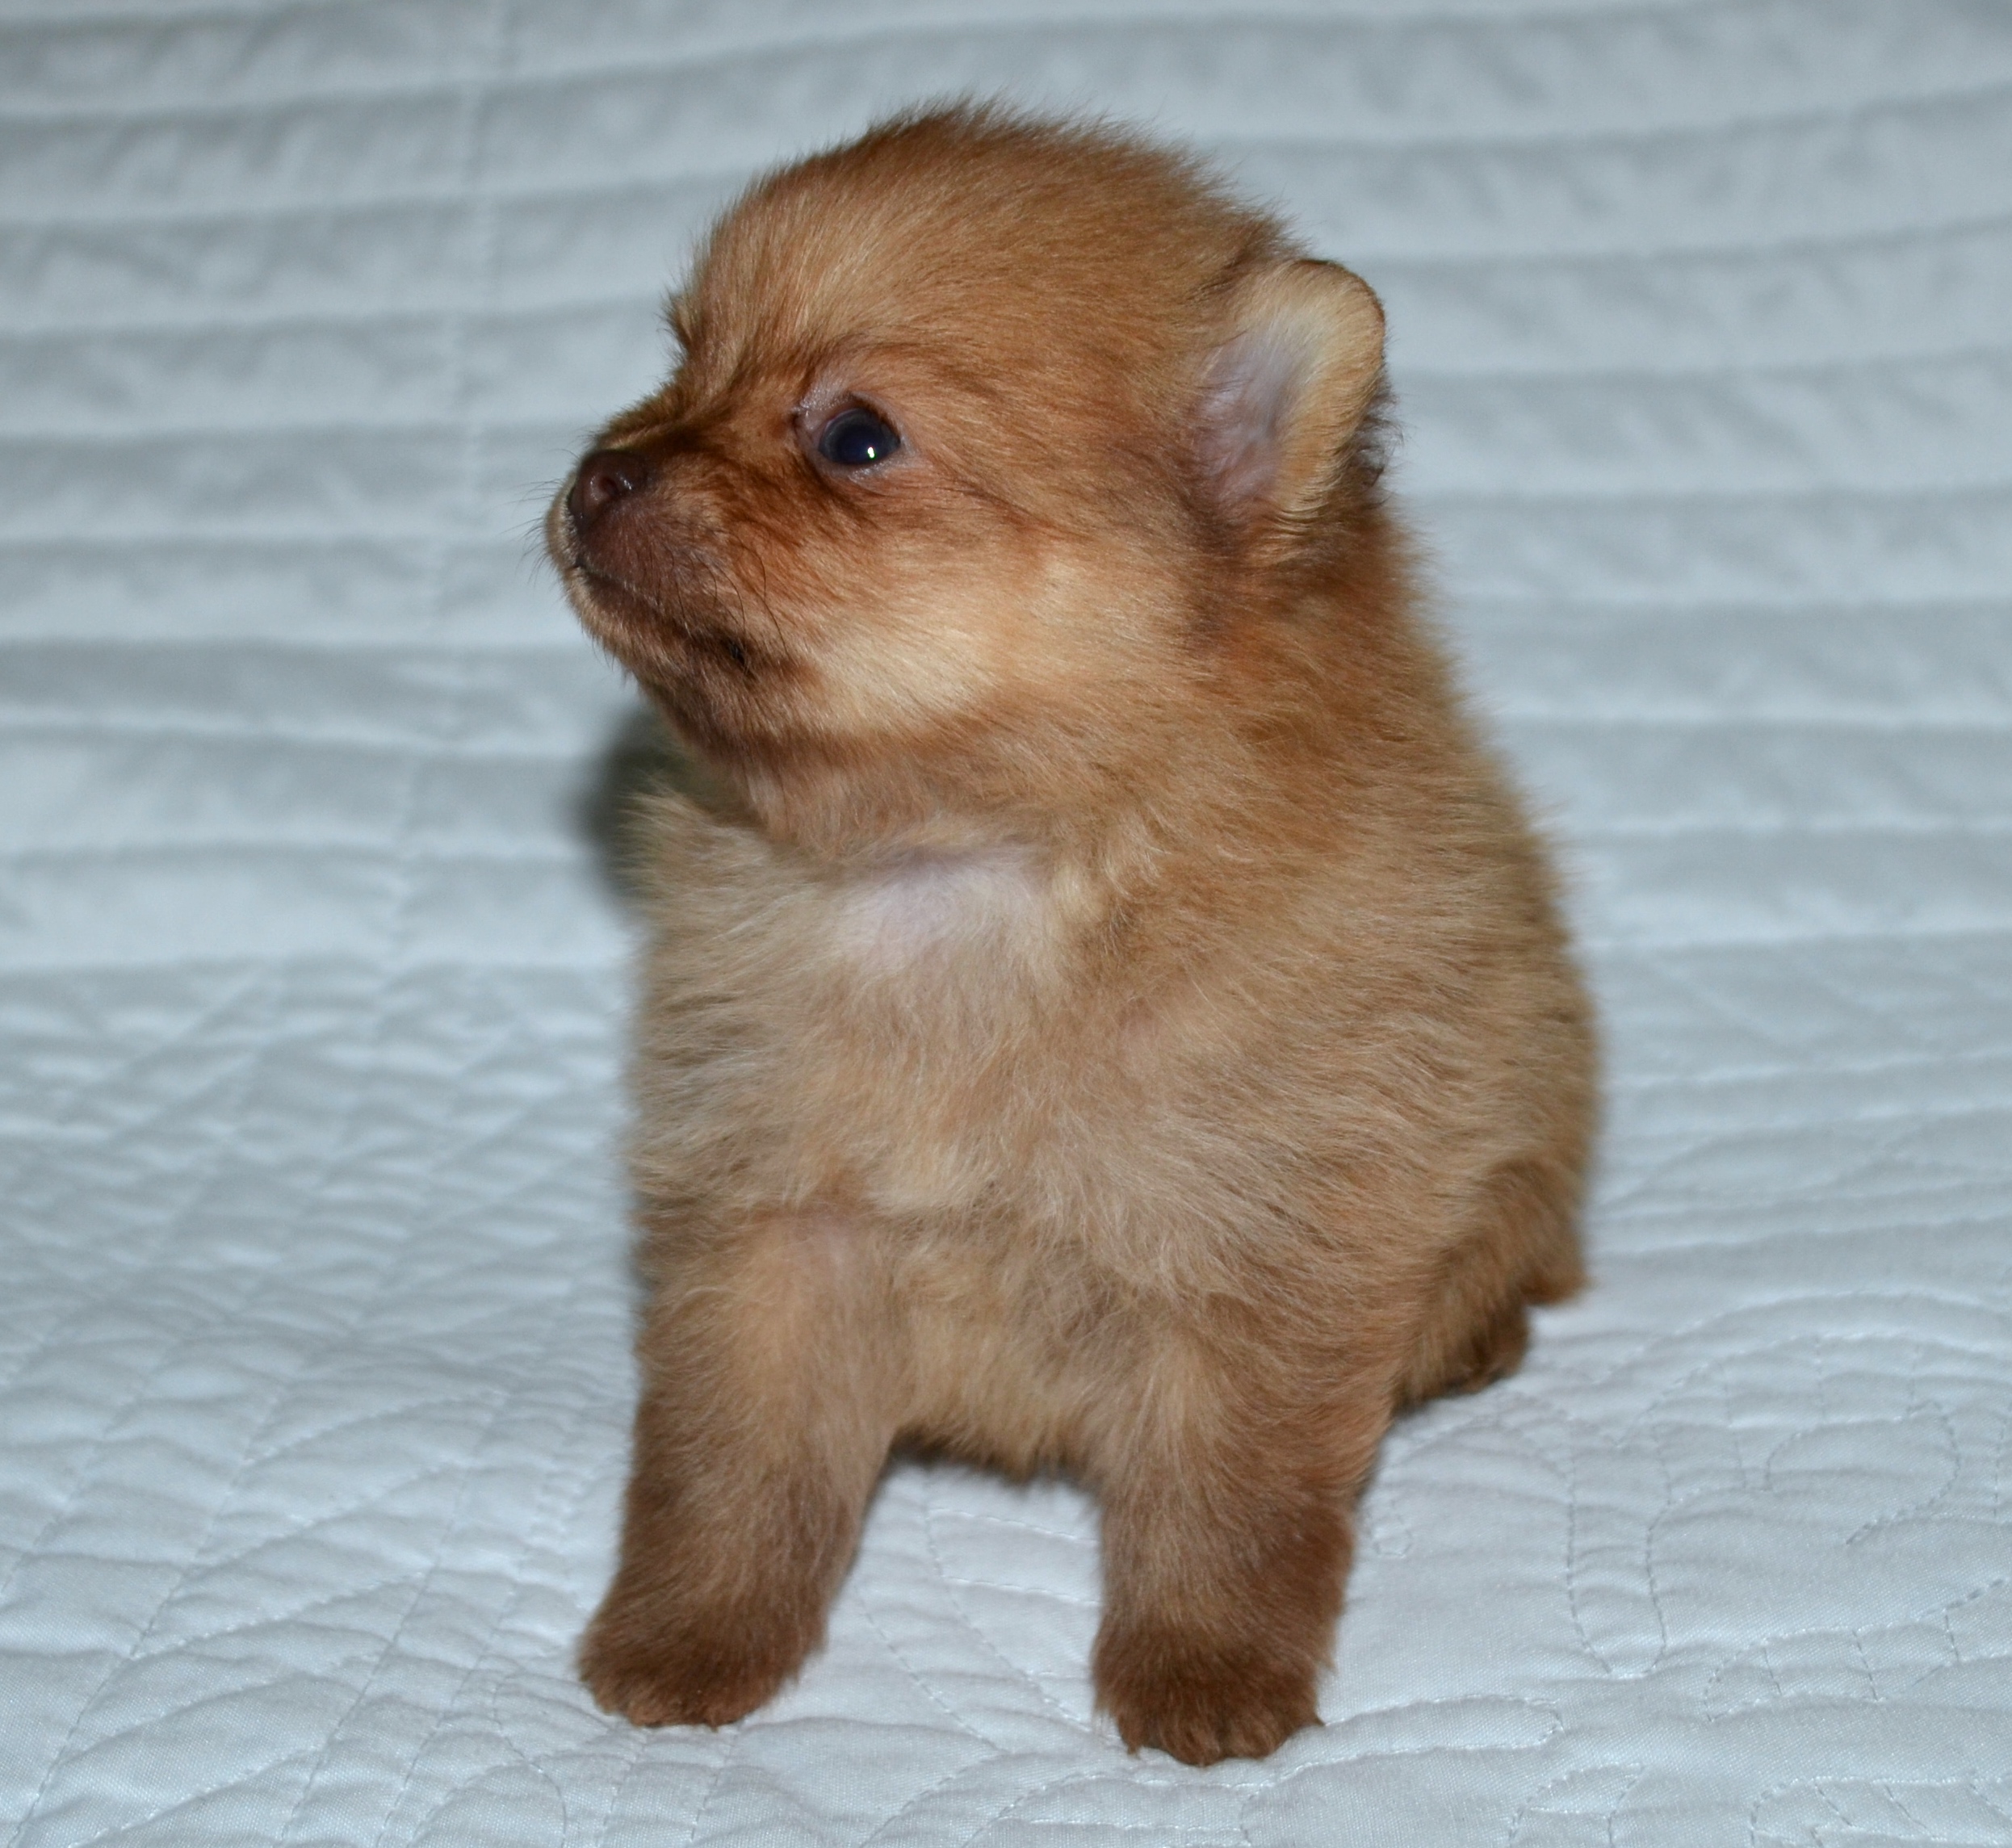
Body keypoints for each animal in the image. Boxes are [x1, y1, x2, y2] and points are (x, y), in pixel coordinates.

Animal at [547, 105, 1594, 1766]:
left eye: (855, 438)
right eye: (684, 362)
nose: (600, 473)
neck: (961, 872)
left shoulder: (1259, 1258)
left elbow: (1233, 1500)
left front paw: (1205, 1673)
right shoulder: (773, 1225)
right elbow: (730, 1467)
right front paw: (691, 1637)